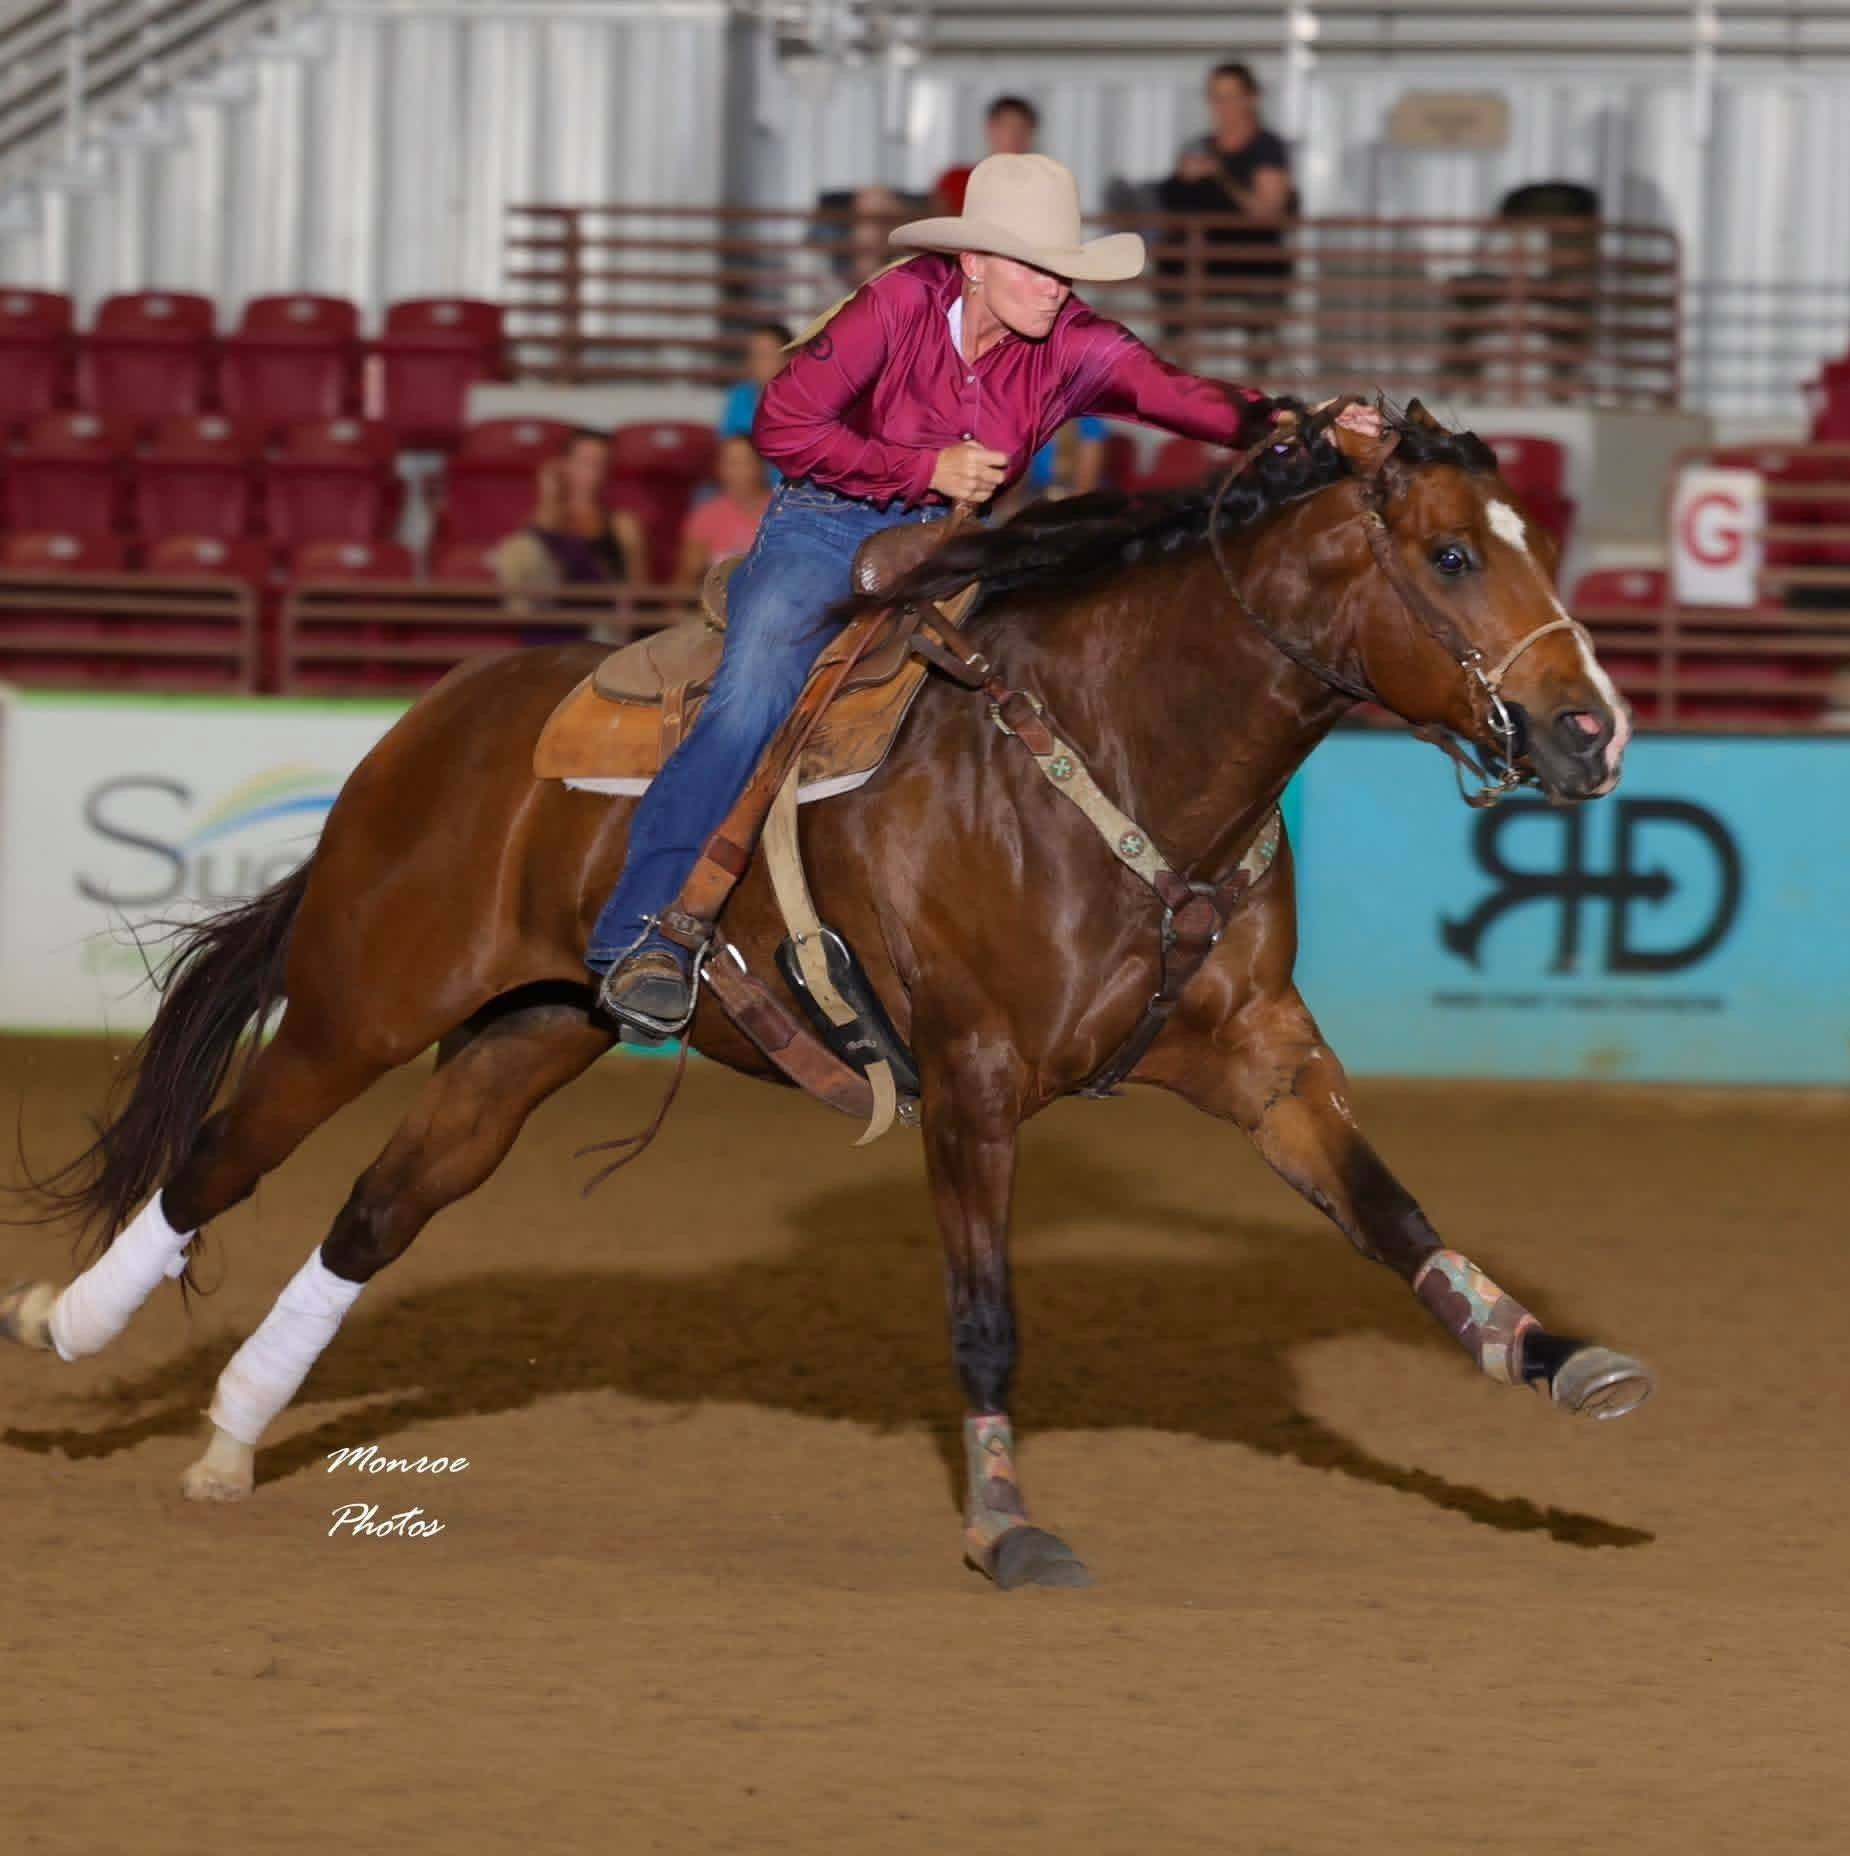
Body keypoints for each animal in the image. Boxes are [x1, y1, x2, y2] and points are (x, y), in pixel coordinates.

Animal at [3, 402, 1647, 1589]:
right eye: (1449, 556)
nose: (1590, 734)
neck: (1117, 749)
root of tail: (426, 726)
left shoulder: (1263, 1060)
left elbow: (1393, 1218)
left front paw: (1551, 1356)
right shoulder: (972, 1082)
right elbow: (984, 1317)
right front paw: (1005, 1524)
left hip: (527, 1034)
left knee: (373, 1211)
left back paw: (231, 1437)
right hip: (367, 998)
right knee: (220, 1158)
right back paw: (70, 1328)